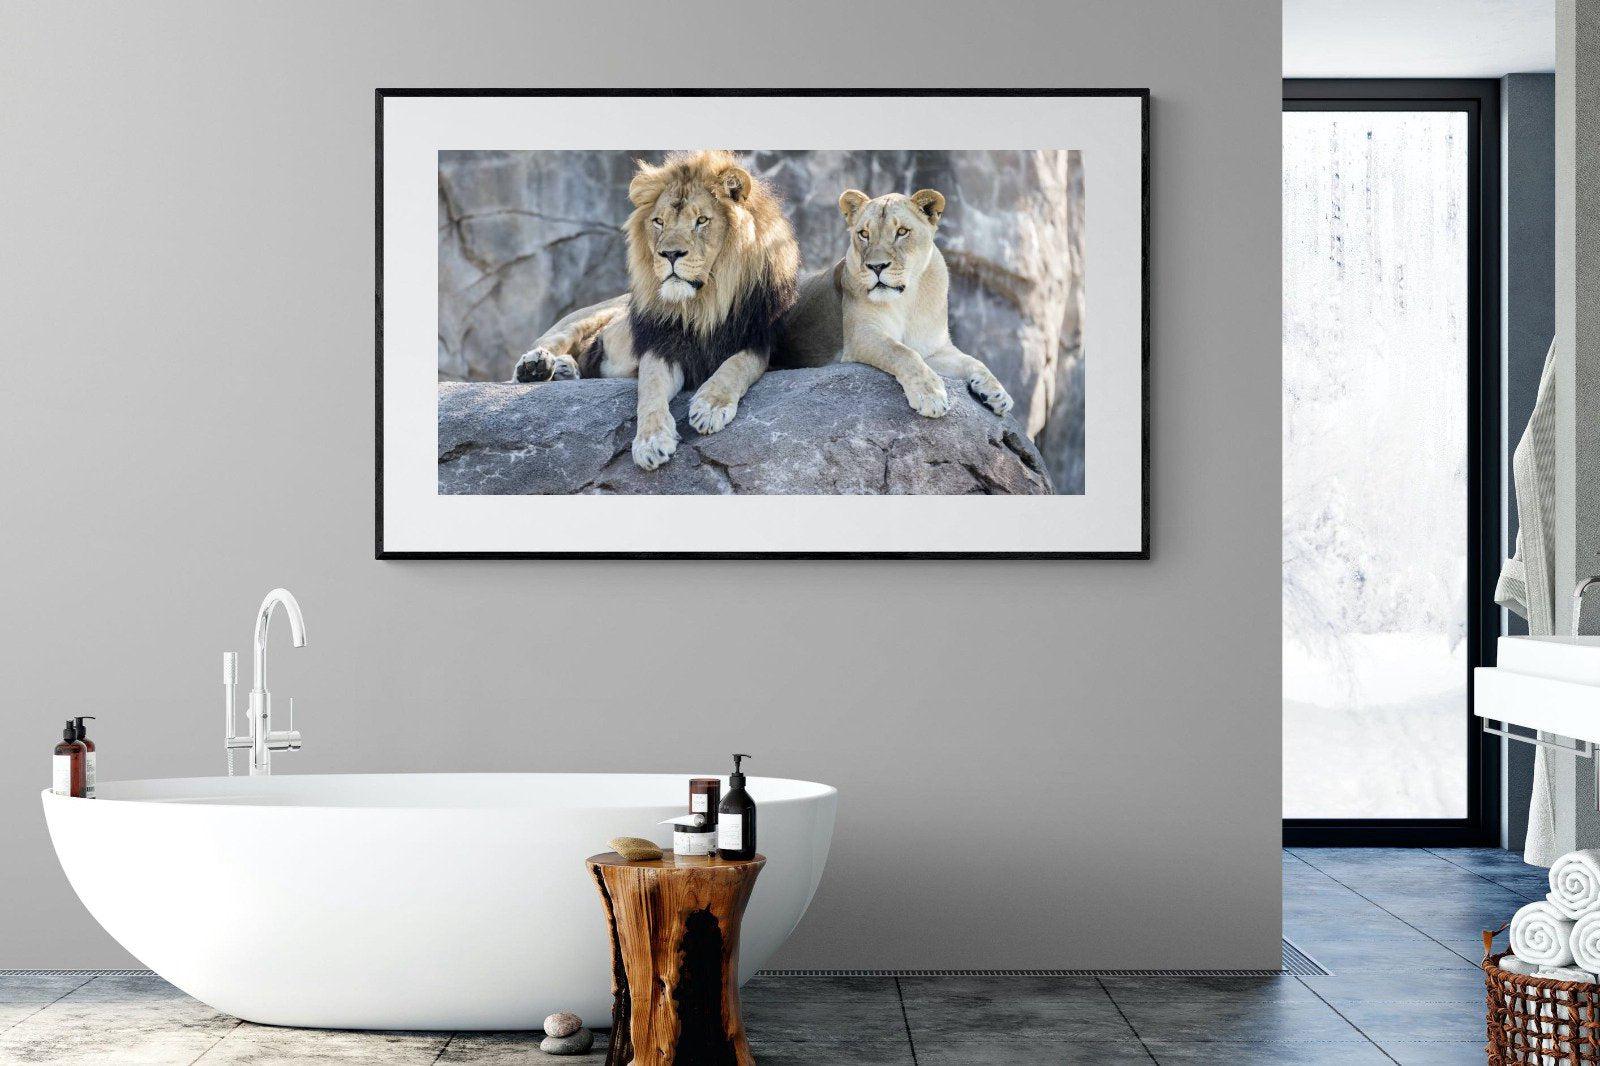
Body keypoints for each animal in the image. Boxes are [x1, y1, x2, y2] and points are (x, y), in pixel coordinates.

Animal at [512, 150, 800, 470]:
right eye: (659, 222)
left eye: (701, 220)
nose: (670, 254)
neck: (703, 304)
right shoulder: (661, 345)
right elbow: (650, 390)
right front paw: (650, 442)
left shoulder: (758, 342)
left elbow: (735, 367)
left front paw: (710, 407)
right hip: (589, 316)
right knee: (548, 343)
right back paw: (536, 366)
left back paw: (565, 369)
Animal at [772, 188, 1013, 419]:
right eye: (864, 234)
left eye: (902, 232)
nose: (877, 266)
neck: (907, 299)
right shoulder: (861, 335)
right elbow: (902, 353)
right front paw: (930, 395)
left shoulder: (933, 349)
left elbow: (974, 361)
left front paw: (998, 394)